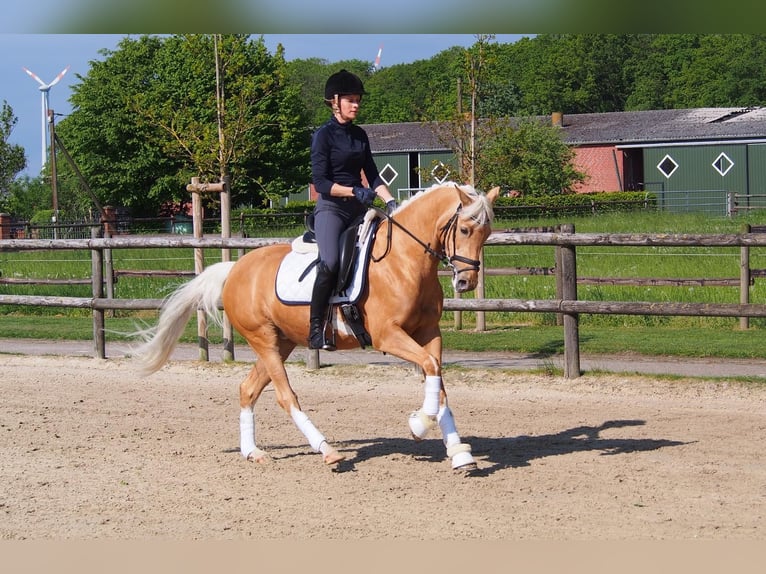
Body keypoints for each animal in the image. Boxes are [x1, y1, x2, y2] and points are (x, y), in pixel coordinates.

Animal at [132, 182, 500, 472]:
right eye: (465, 230)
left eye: (486, 233)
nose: (465, 282)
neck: (403, 260)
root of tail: (235, 269)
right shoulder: (388, 335)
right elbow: (430, 367)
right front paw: (419, 424)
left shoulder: (428, 333)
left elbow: (438, 377)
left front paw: (459, 453)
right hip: (263, 339)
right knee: (285, 396)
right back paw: (327, 450)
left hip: (280, 342)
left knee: (248, 389)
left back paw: (253, 452)